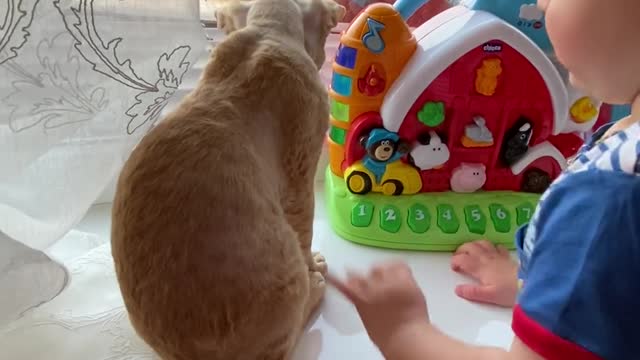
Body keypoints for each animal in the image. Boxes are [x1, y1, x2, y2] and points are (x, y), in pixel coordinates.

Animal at [112, 0, 348, 360]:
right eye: (324, 34)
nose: (323, 56)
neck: (265, 33)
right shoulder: (299, 176)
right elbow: (305, 231)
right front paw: (315, 266)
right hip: (285, 271)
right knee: (285, 342)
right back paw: (314, 291)